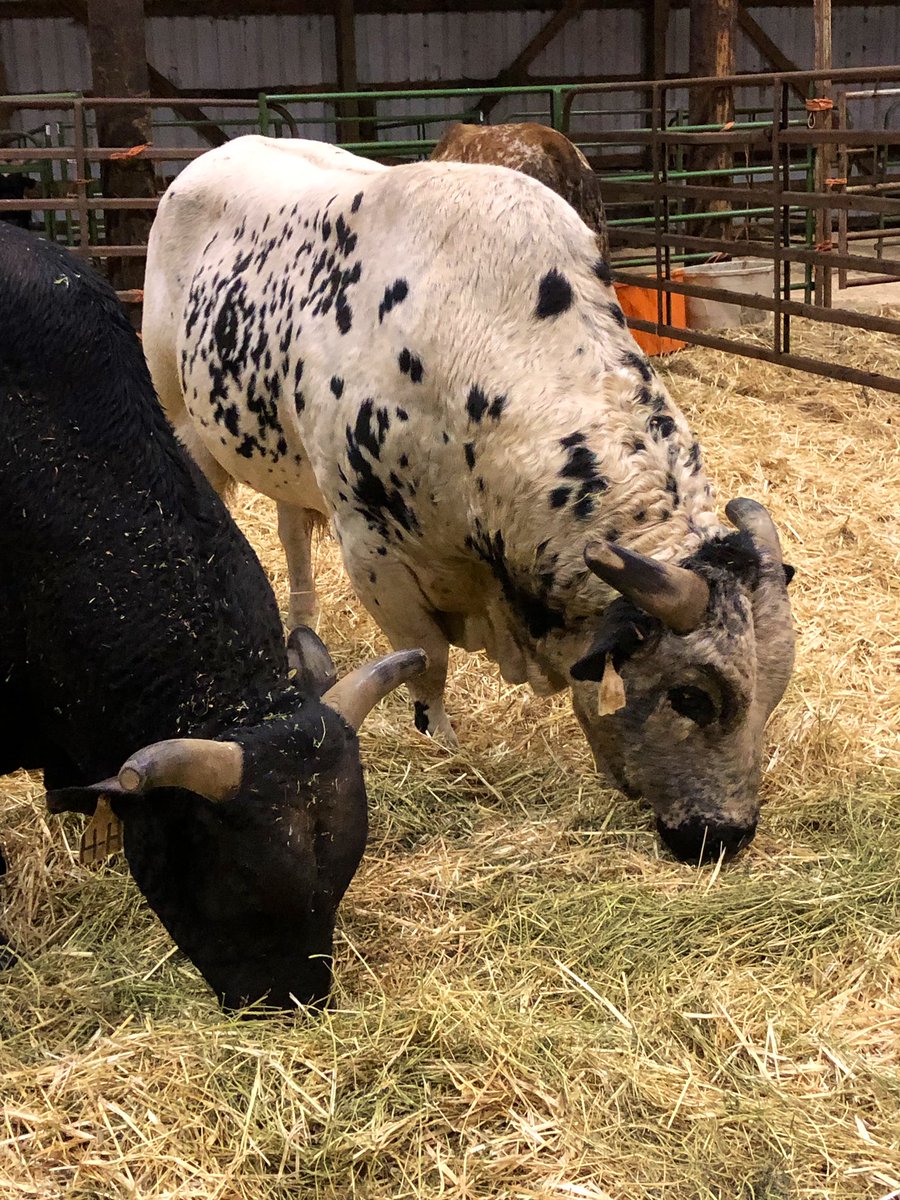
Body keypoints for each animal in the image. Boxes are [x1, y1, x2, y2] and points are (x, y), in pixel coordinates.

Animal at [142, 136, 796, 865]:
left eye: (774, 694)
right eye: (689, 696)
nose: (727, 835)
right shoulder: (372, 552)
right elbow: (428, 662)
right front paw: (440, 742)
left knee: (291, 534)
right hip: (185, 424)